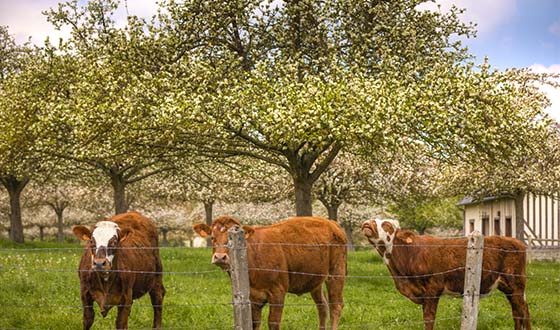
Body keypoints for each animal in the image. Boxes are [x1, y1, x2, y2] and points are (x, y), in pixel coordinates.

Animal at [195, 217, 348, 330]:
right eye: (212, 237)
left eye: (229, 239)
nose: (220, 257)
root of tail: (331, 223)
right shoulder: (253, 297)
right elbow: (254, 323)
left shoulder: (278, 292)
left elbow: (273, 323)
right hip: (316, 280)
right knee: (322, 306)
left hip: (336, 273)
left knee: (336, 306)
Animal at [360, 219, 532, 330]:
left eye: (387, 224)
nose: (367, 223)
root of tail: (517, 242)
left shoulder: (432, 288)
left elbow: (429, 318)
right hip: (510, 288)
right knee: (519, 311)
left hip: (515, 284)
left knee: (521, 311)